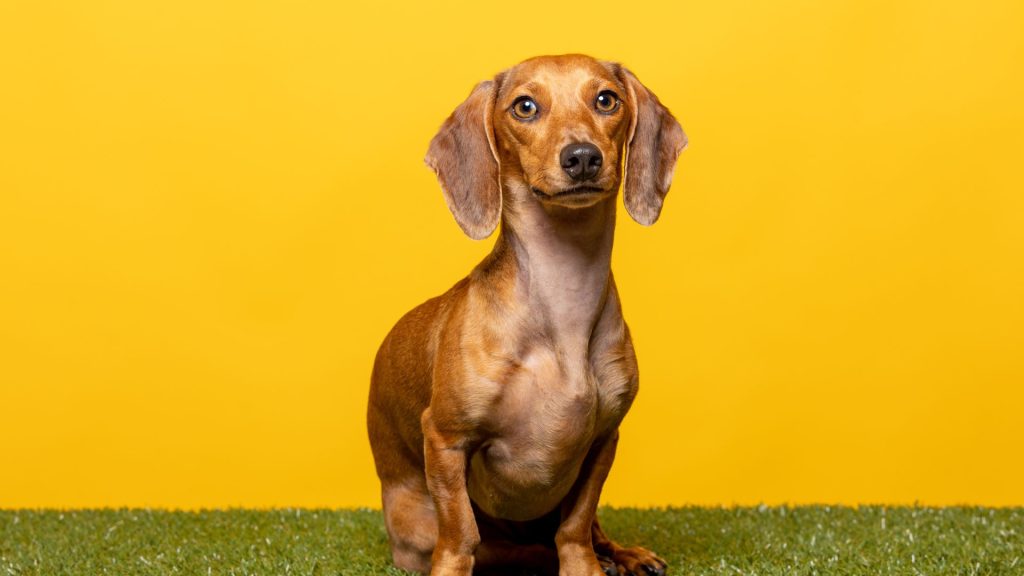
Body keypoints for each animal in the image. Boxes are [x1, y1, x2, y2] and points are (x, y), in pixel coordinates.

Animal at [368, 54, 688, 573]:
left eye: (606, 99)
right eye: (525, 106)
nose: (582, 157)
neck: (563, 305)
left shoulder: (603, 441)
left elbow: (576, 525)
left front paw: (586, 568)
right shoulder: (446, 438)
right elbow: (461, 533)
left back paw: (623, 556)